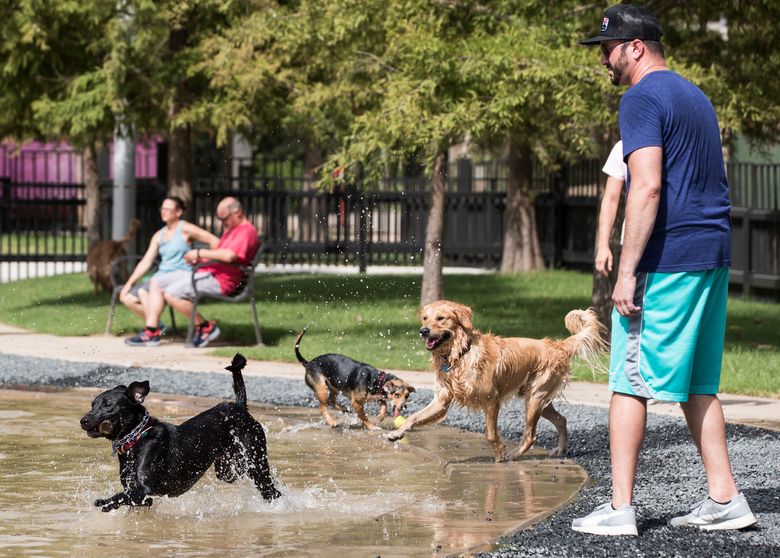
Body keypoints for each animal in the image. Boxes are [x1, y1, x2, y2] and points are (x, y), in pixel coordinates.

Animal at [80, 354, 282, 512]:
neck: (137, 439)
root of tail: (239, 407)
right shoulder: (143, 498)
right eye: (92, 405)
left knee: (272, 491)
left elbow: (119, 496)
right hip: (226, 470)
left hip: (255, 462)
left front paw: (105, 501)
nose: (83, 420)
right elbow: (126, 498)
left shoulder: (144, 491)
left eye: (108, 405)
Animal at [386, 302, 608, 464]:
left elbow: (490, 434)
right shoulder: (442, 400)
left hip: (535, 398)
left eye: (440, 318)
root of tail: (557, 345)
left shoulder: (492, 400)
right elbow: (414, 417)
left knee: (531, 435)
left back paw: (514, 454)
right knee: (562, 420)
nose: (423, 330)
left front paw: (500, 453)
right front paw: (396, 433)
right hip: (539, 399)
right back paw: (561, 449)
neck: (461, 355)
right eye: (425, 318)